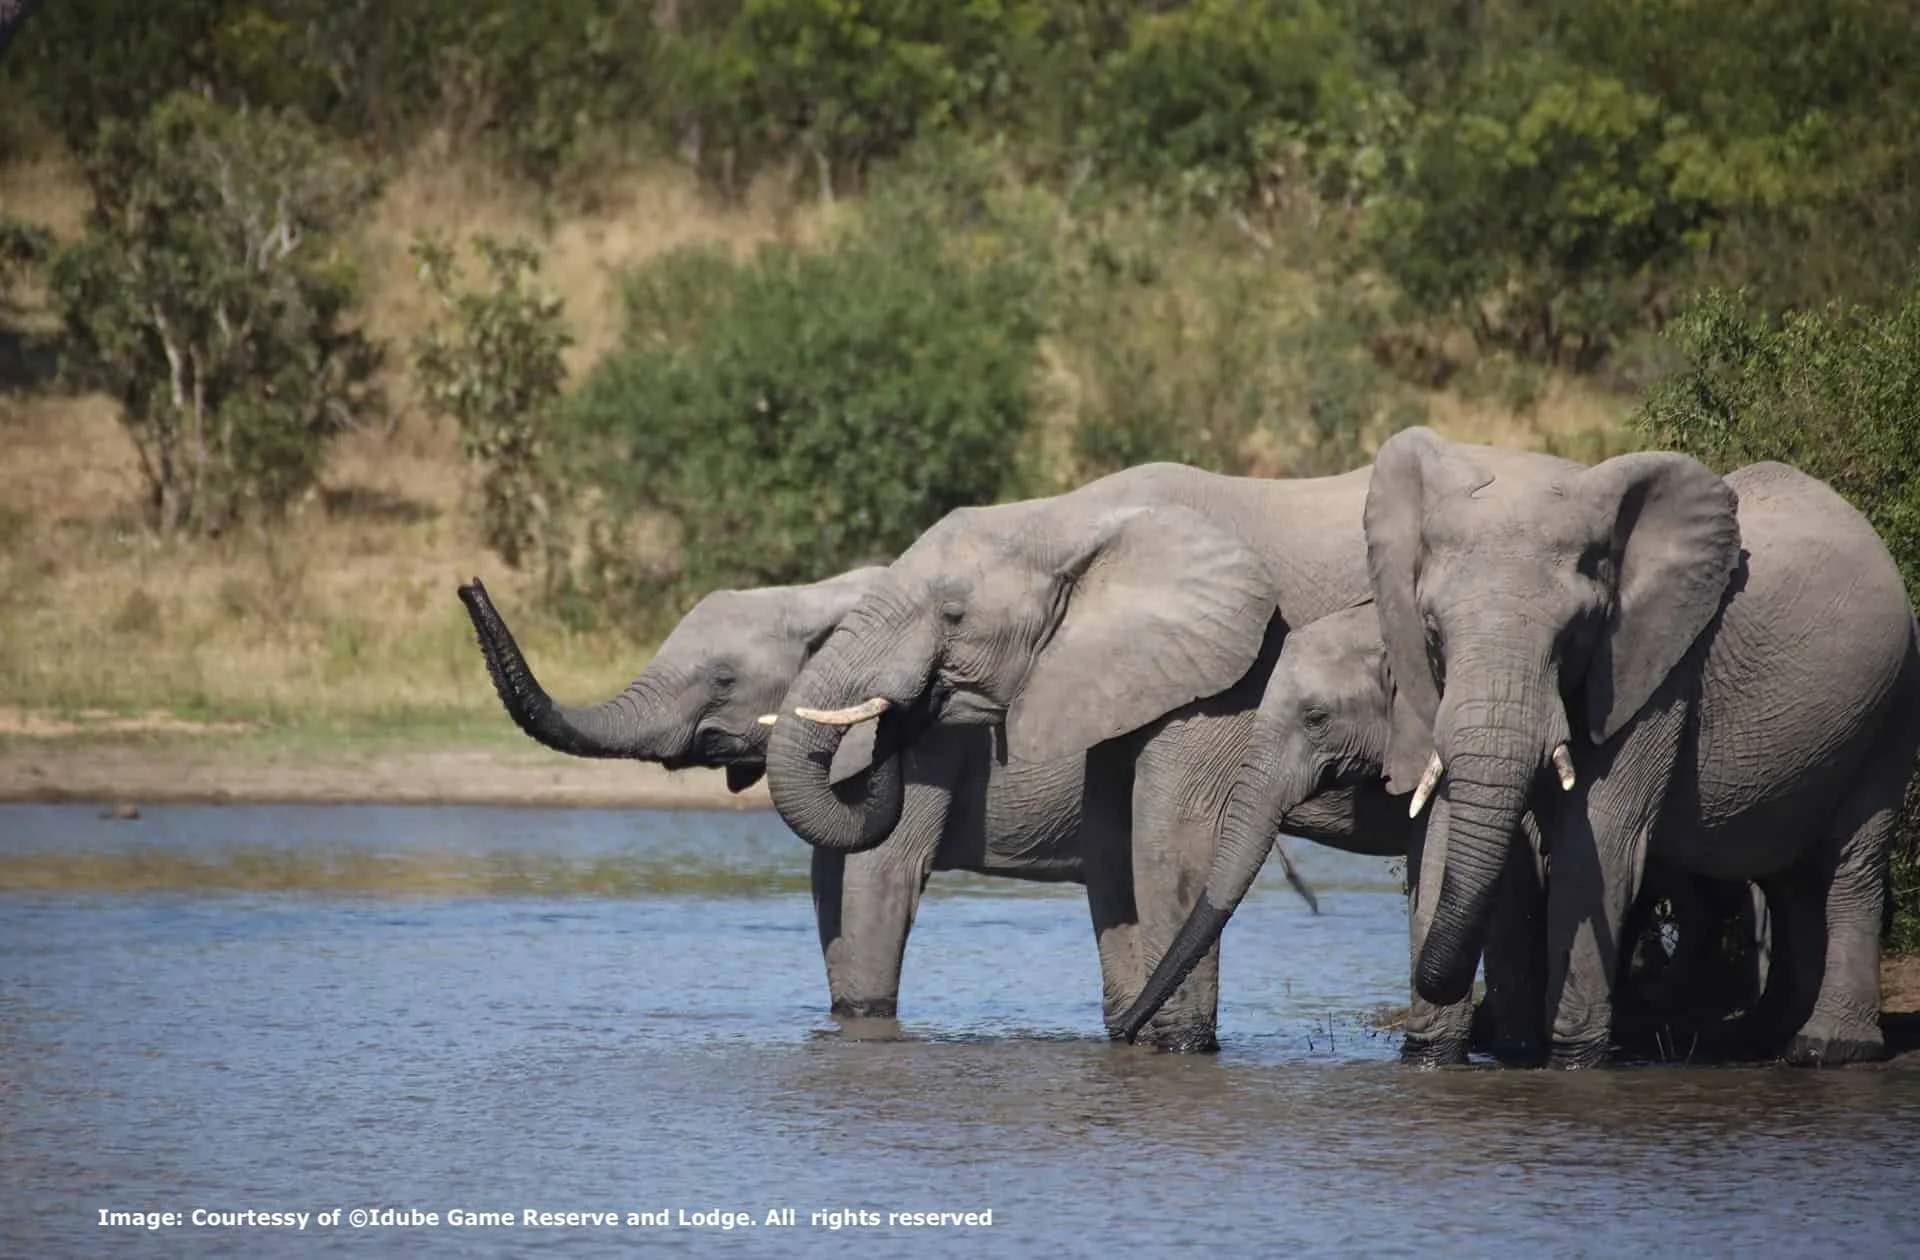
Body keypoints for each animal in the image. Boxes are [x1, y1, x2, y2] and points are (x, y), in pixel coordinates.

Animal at [456, 570, 1317, 1028]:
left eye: (724, 679)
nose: (469, 584)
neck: (814, 596)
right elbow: (828, 881)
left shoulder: (934, 745)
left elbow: (877, 874)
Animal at [762, 461, 1424, 1052]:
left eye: (953, 615)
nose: (904, 709)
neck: (1072, 519)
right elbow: (1111, 838)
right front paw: (1130, 1035)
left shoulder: (1236, 667)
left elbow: (1171, 832)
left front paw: (1175, 1044)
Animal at [1364, 426, 1920, 1067]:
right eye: (1432, 633)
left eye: (1573, 636)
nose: (1438, 985)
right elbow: (1437, 833)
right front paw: (1429, 1059)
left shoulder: (1657, 671)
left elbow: (1600, 843)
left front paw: (1572, 1062)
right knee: (1788, 877)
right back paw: (1763, 1038)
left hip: (1893, 698)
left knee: (1850, 861)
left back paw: (1827, 1049)